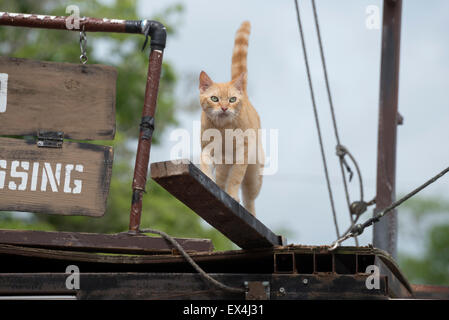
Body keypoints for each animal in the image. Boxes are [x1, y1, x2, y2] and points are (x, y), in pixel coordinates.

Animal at [199, 20, 262, 215]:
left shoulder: (243, 151)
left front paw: (233, 196)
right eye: (214, 99)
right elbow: (205, 163)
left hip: (254, 176)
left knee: (250, 198)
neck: (223, 127)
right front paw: (208, 178)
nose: (225, 107)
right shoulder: (207, 146)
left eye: (232, 99)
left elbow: (235, 177)